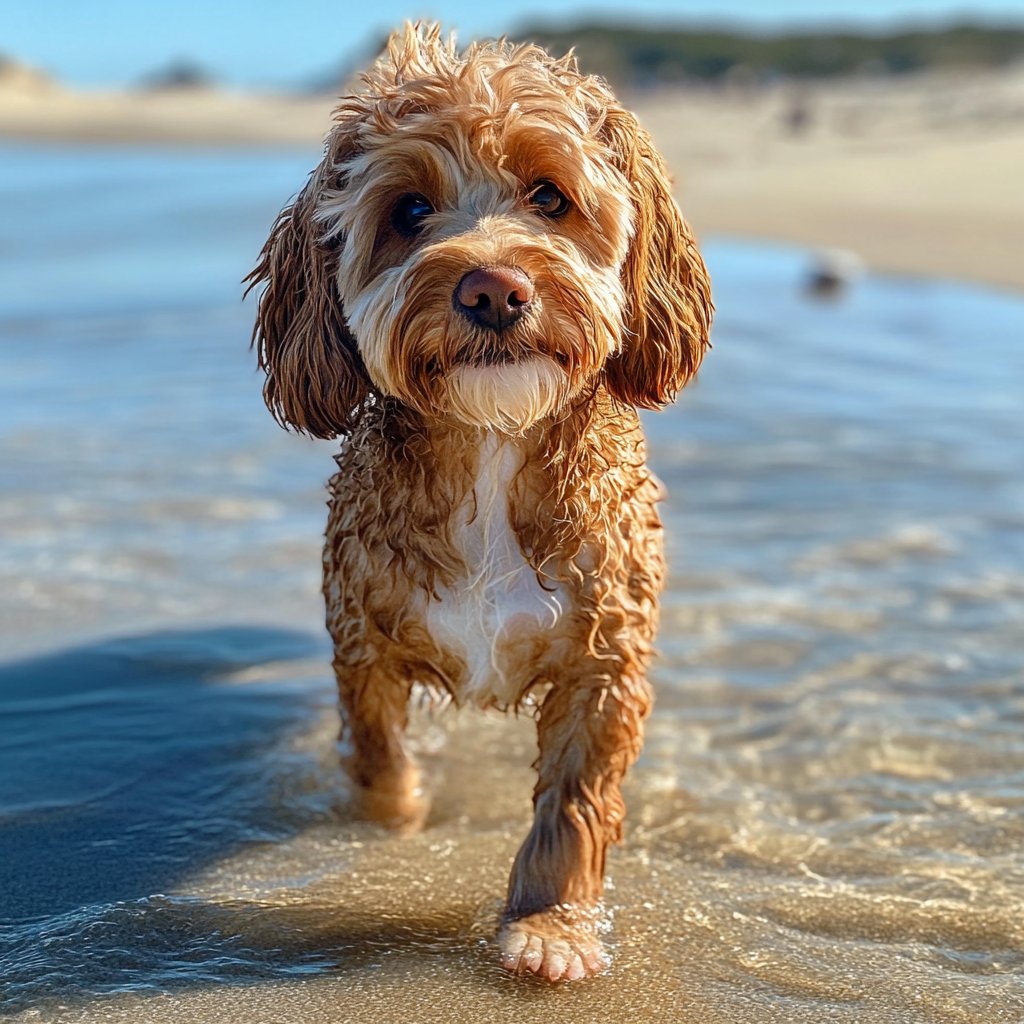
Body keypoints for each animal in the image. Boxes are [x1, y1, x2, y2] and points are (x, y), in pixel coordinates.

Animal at [247, 24, 712, 983]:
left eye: (550, 196)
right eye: (409, 211)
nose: (493, 289)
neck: (493, 439)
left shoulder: (604, 661)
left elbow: (573, 805)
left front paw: (551, 927)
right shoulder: (363, 647)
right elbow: (379, 761)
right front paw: (391, 840)